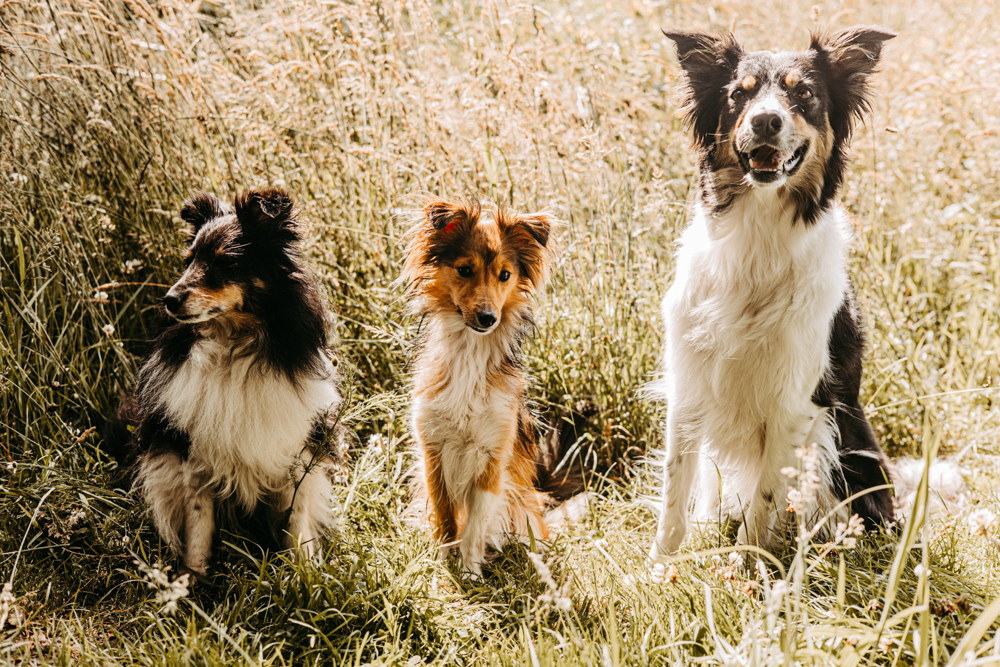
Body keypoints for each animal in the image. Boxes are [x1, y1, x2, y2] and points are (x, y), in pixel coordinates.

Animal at [103, 187, 342, 576]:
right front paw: (192, 579)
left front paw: (303, 574)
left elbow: (297, 519)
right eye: (188, 260)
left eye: (225, 263)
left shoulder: (300, 450)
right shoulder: (194, 456)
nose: (168, 300)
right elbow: (199, 523)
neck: (235, 347)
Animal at [404, 196, 564, 576]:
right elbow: (446, 518)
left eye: (505, 275)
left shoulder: (493, 456)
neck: (469, 352)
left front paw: (469, 571)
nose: (488, 318)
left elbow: (475, 524)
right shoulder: (433, 451)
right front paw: (444, 565)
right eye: (465, 270)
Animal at [648, 27, 900, 560]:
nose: (766, 120)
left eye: (803, 93)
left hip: (850, 456)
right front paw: (660, 568)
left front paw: (744, 569)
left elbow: (763, 501)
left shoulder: (795, 403)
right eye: (738, 94)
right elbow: (674, 493)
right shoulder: (688, 384)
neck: (758, 237)